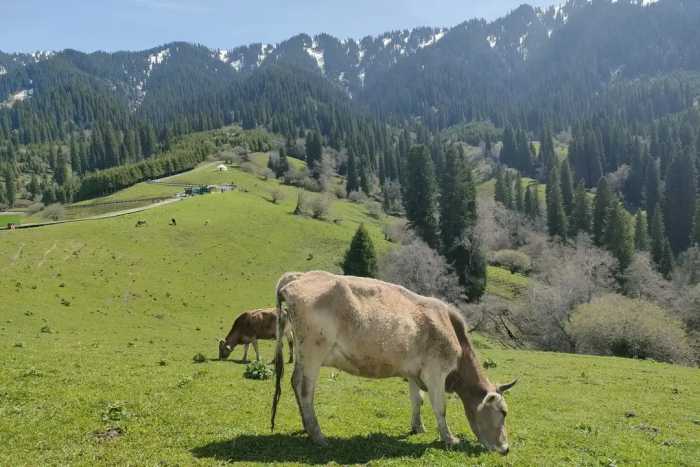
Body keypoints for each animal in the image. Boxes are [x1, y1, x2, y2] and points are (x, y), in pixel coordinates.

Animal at [270, 272, 516, 456]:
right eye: (503, 412)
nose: (505, 448)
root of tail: (299, 276)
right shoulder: (436, 373)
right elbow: (440, 407)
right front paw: (449, 438)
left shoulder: (414, 372)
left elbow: (417, 400)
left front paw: (418, 427)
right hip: (313, 352)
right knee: (304, 388)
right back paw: (317, 435)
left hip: (303, 354)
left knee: (294, 382)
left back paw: (306, 427)